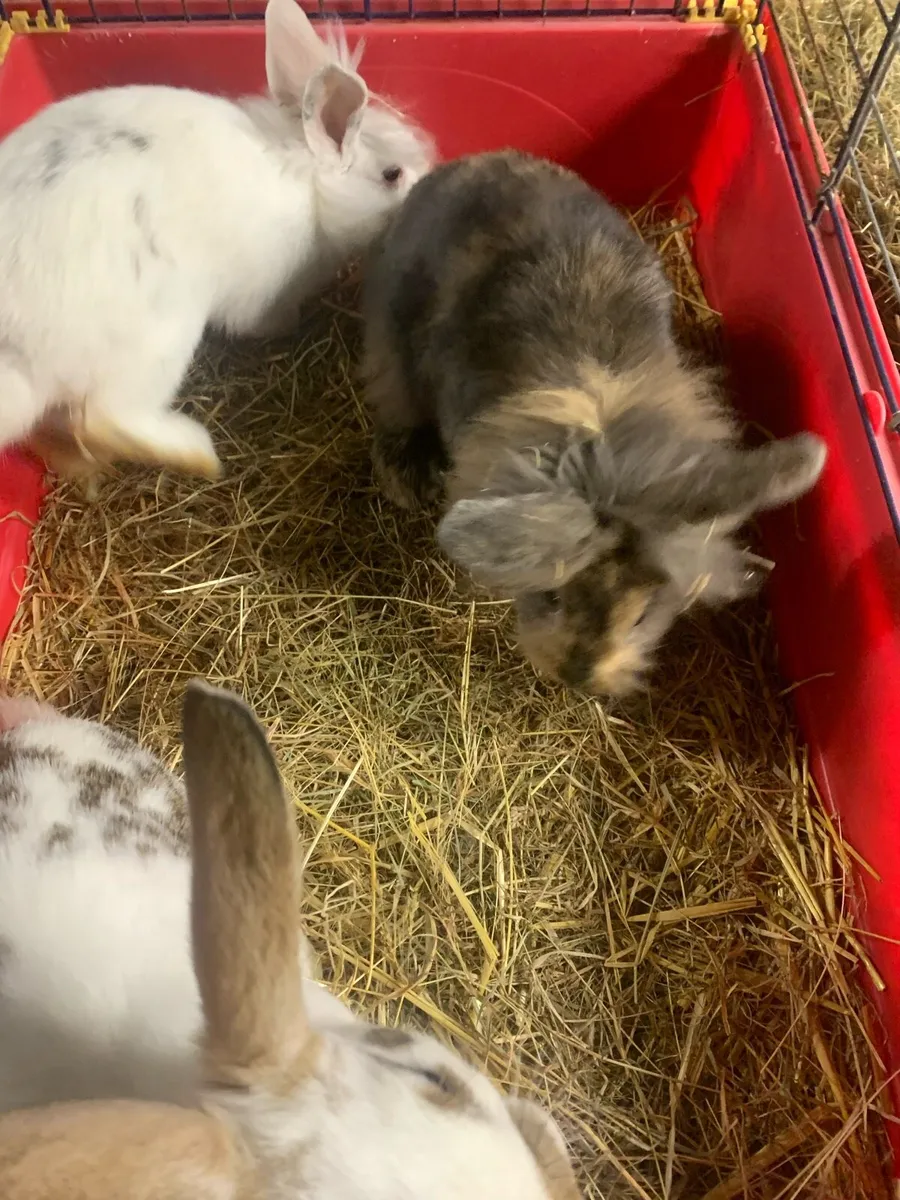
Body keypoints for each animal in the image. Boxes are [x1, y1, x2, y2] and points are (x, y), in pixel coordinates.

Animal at [0, 0, 434, 484]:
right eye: (392, 175)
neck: (309, 187)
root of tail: (16, 349)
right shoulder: (262, 294)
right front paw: (291, 323)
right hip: (162, 333)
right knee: (103, 417)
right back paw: (202, 454)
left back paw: (84, 468)